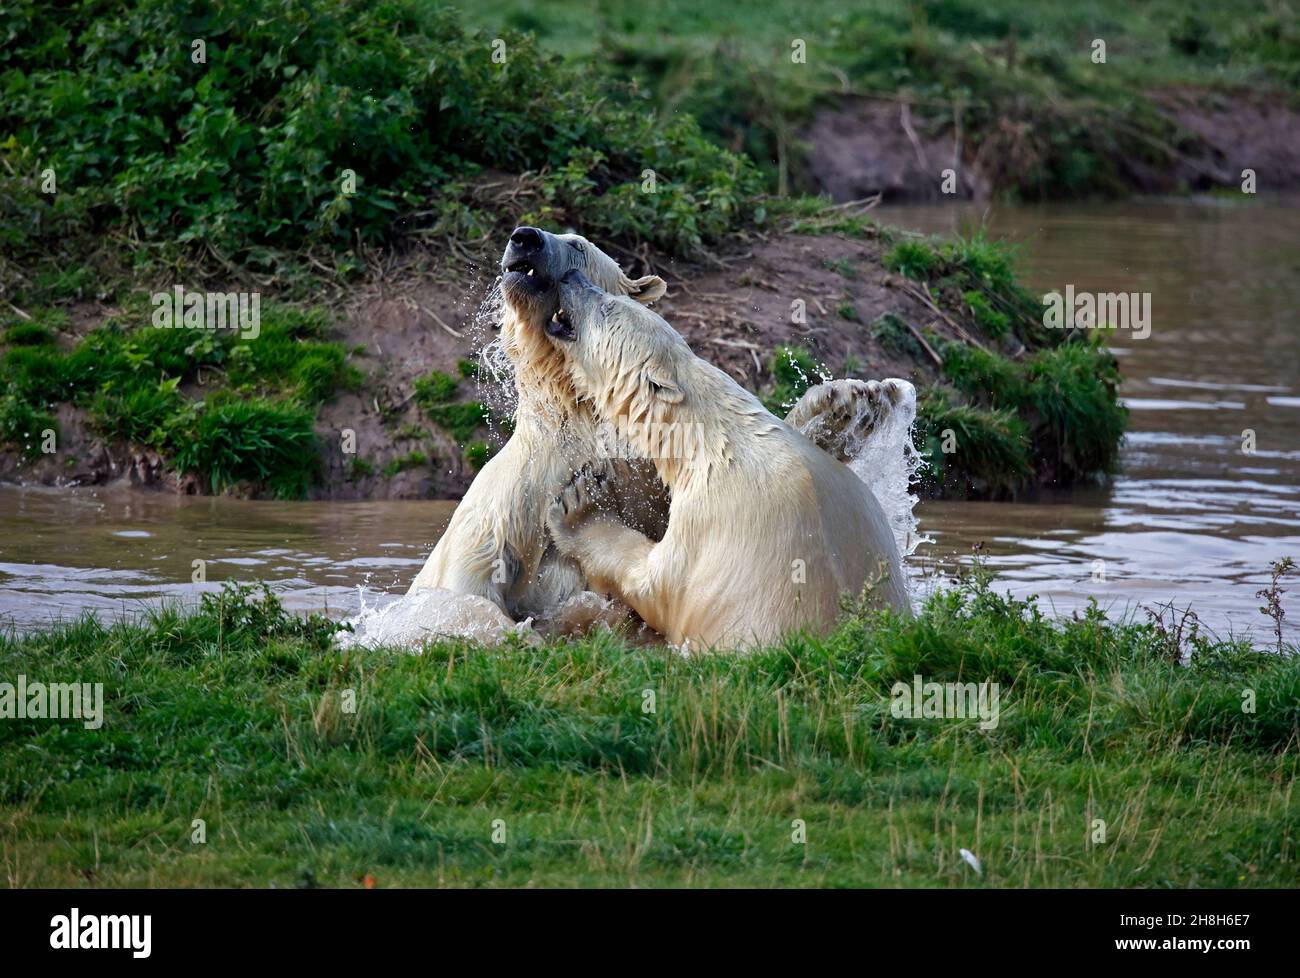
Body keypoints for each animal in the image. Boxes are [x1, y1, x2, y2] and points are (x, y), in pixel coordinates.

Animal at [543, 265, 909, 650]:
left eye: (607, 305)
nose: (570, 275)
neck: (714, 441)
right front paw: (840, 409)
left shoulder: (704, 523)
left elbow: (654, 584)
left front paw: (580, 504)